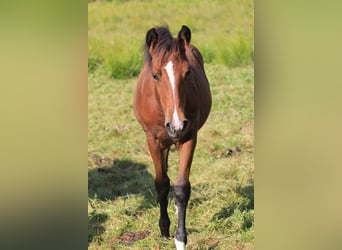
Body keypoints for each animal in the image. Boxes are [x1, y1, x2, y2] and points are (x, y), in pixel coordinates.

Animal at [134, 25, 211, 250]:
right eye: (155, 75)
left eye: (188, 73)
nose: (176, 126)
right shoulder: (152, 140)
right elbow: (161, 184)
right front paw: (164, 229)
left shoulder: (189, 137)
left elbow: (181, 188)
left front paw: (180, 239)